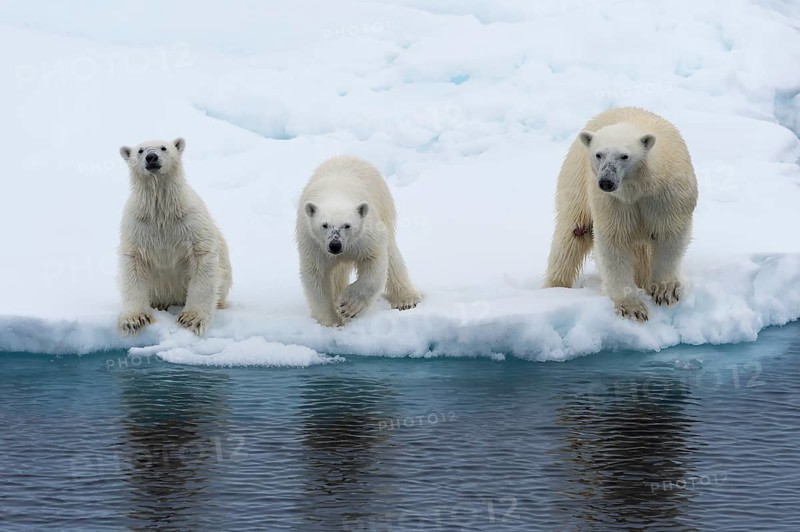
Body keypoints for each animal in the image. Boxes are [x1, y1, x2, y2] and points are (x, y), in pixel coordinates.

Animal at [117, 137, 232, 335]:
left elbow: (202, 258)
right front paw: (135, 320)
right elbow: (133, 265)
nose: (152, 157)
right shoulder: (138, 227)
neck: (161, 211)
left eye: (164, 147)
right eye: (140, 150)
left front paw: (191, 319)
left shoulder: (190, 223)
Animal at [295, 156, 422, 327]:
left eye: (347, 225)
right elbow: (316, 276)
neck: (335, 193)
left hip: (384, 205)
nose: (335, 245)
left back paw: (406, 299)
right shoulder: (313, 243)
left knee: (392, 254)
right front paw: (331, 321)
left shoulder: (365, 236)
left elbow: (374, 262)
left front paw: (348, 306)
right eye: (325, 225)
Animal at [543, 107, 697, 321]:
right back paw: (554, 288)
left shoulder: (667, 196)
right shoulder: (613, 203)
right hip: (576, 181)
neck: (639, 187)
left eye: (624, 156)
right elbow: (614, 241)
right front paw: (632, 307)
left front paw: (665, 291)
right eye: (599, 154)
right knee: (571, 237)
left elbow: (670, 235)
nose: (606, 181)